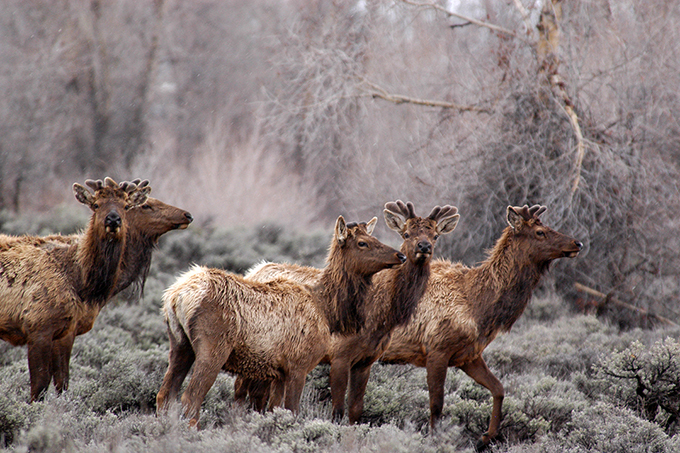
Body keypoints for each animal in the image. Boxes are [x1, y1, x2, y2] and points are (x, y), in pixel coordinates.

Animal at [0, 178, 150, 401]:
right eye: (96, 204)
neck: (78, 281)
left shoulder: (65, 331)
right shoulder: (37, 327)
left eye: (125, 206)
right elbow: (39, 386)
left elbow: (63, 383)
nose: (113, 219)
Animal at [155, 216, 407, 427]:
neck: (327, 311)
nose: (400, 255)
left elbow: (274, 410)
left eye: (375, 238)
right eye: (363, 243)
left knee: (164, 394)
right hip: (213, 348)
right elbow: (292, 411)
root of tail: (177, 295)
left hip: (180, 344)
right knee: (190, 398)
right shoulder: (299, 364)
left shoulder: (278, 372)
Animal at [240, 201, 460, 424]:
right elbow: (338, 411)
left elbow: (356, 410)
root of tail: (253, 270)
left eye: (435, 235)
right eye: (406, 234)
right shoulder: (339, 356)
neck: (382, 319)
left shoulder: (366, 361)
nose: (423, 247)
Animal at [380, 205, 583, 450]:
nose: (577, 243)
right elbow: (436, 404)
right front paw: (436, 441)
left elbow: (499, 388)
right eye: (540, 232)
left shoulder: (468, 354)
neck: (479, 309)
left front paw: (485, 437)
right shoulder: (437, 348)